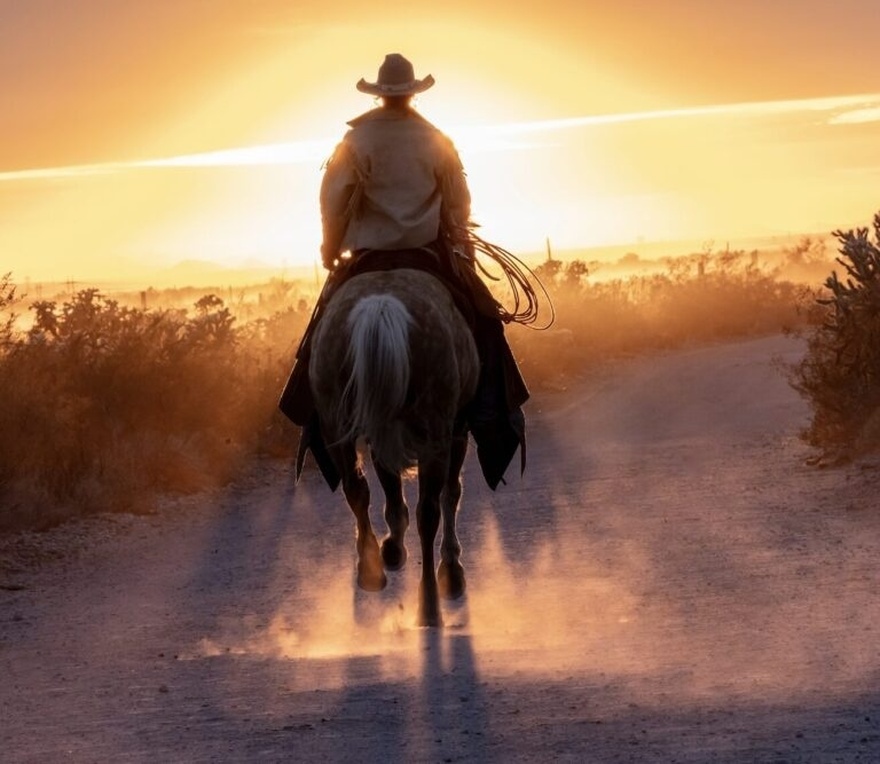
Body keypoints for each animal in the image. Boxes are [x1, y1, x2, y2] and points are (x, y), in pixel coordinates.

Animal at [306, 268, 478, 628]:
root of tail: (380, 306)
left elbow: (390, 490)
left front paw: (393, 548)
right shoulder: (457, 429)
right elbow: (451, 494)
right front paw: (450, 567)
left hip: (335, 424)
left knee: (356, 489)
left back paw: (370, 568)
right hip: (437, 433)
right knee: (430, 512)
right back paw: (430, 603)